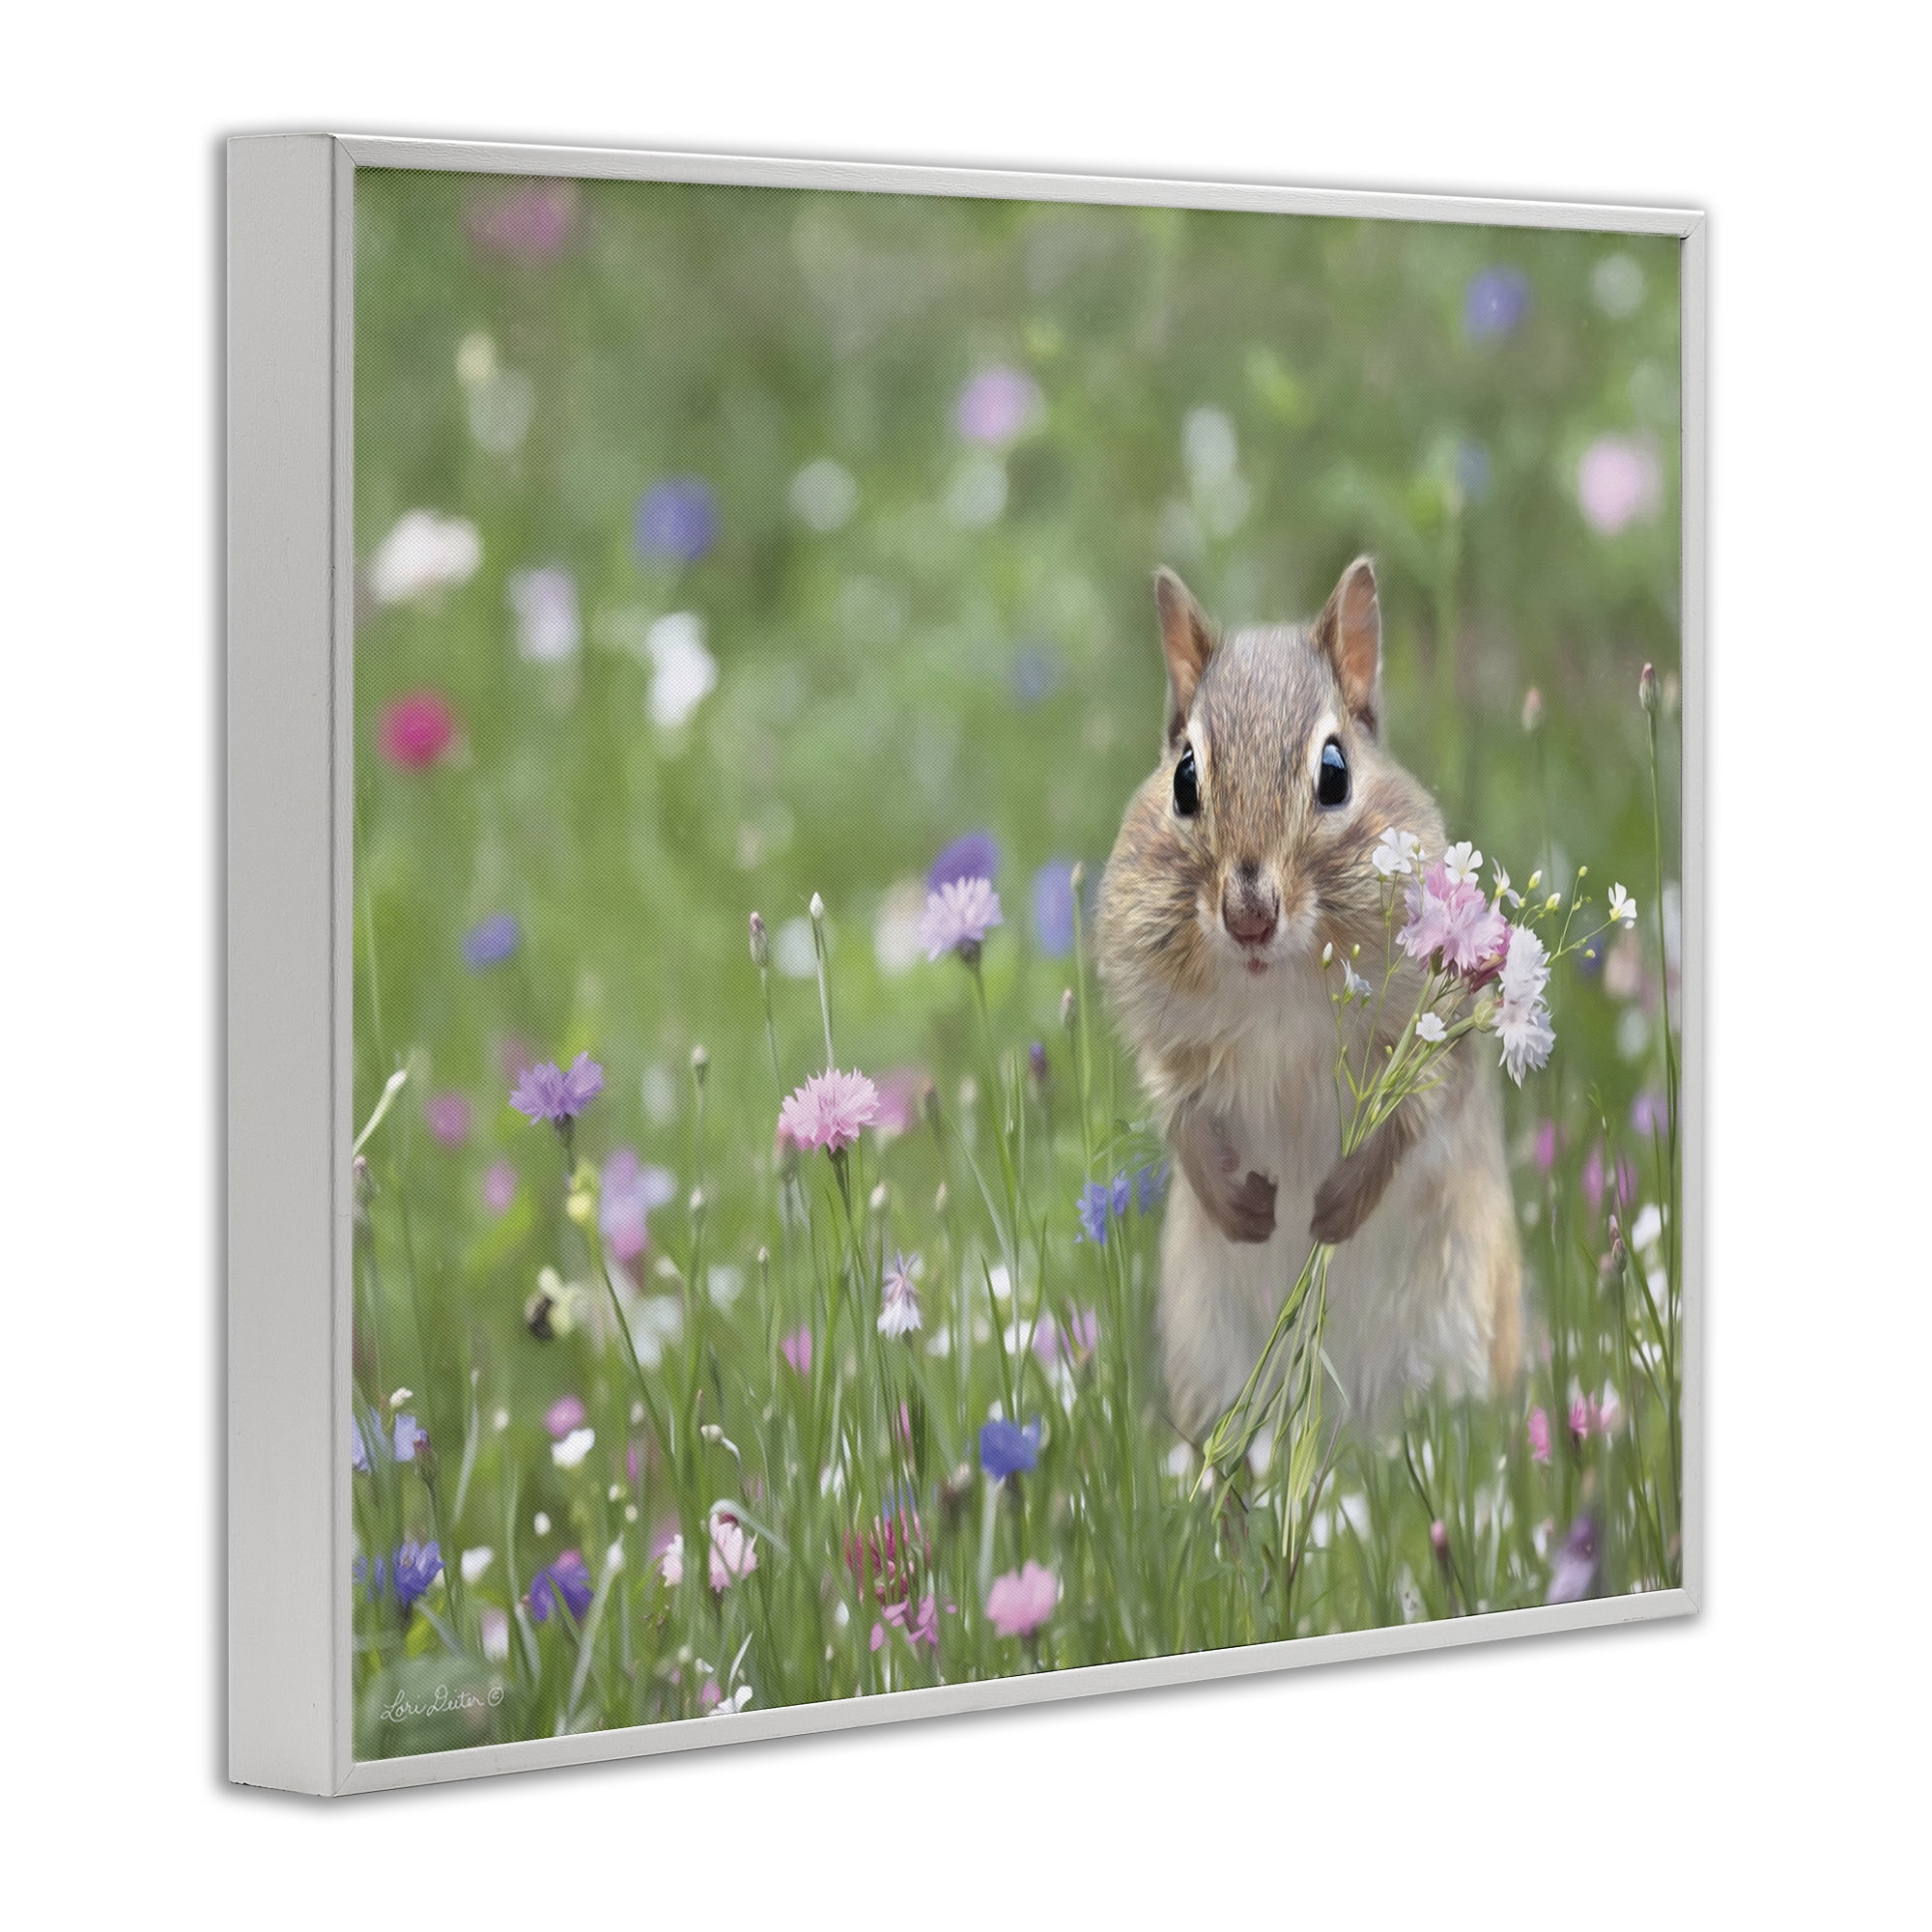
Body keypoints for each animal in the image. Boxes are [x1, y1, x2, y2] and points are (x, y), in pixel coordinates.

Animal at [1096, 557, 1521, 1442]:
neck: (1277, 988)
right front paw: (1243, 1208)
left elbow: (1415, 1113)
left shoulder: (1431, 1032)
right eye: (1184, 777)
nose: (1249, 915)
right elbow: (1179, 1112)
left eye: (1335, 773)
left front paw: (1334, 1209)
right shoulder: (1165, 1036)